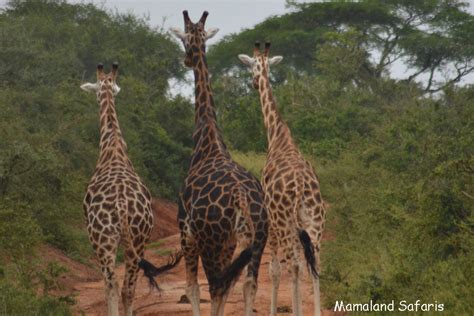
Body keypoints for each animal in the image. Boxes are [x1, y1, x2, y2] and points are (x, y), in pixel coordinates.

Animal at [79, 62, 181, 316]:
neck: (113, 148)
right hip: (138, 240)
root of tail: (122, 205)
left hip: (104, 240)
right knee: (129, 286)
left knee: (113, 284)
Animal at [170, 10, 268, 316]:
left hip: (211, 242)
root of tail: (240, 198)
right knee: (247, 284)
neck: (208, 142)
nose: (186, 59)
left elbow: (193, 288)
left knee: (215, 285)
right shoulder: (231, 243)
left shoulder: (186, 232)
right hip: (256, 239)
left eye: (185, 39)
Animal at [239, 42, 328, 316]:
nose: (253, 83)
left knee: (294, 265)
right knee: (315, 263)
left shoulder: (269, 219)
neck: (277, 135)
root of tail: (300, 187)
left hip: (284, 220)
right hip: (315, 221)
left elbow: (274, 269)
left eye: (251, 67)